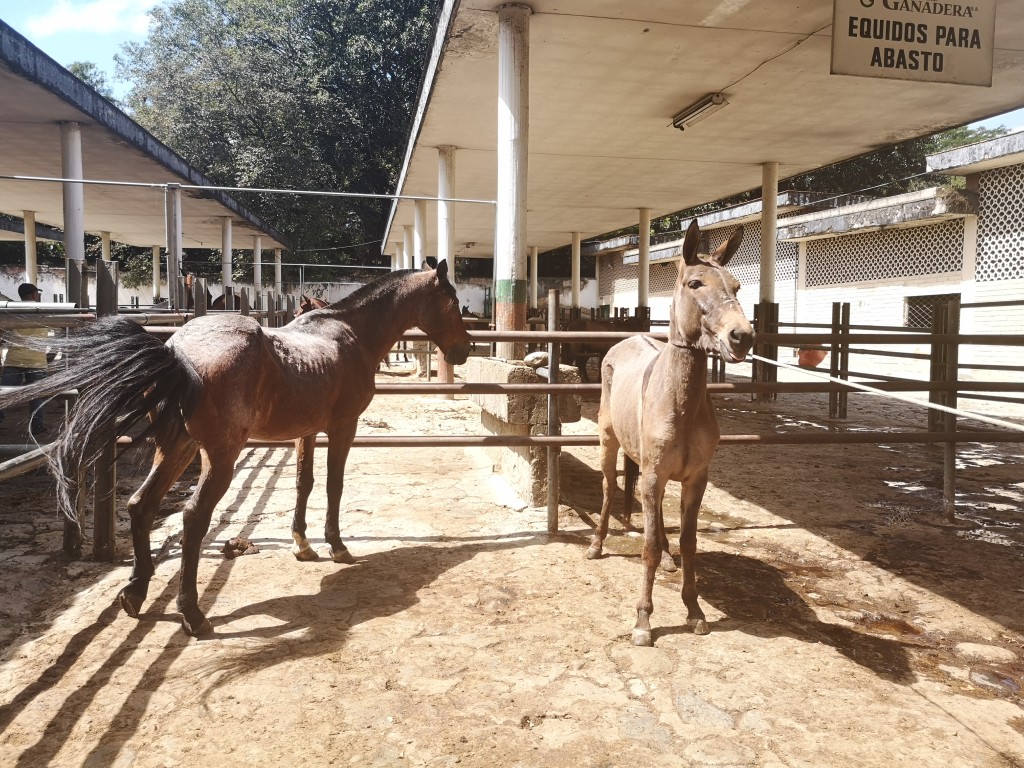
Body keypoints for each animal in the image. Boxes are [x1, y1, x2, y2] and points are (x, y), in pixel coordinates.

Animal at [0, 261, 470, 636]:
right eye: (452, 300)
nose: (464, 350)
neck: (349, 334)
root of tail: (176, 351)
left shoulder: (305, 433)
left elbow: (303, 483)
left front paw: (302, 544)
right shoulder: (342, 429)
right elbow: (333, 486)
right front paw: (337, 547)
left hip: (177, 448)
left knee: (140, 505)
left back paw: (135, 592)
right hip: (218, 458)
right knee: (192, 518)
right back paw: (192, 614)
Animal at [586, 221, 753, 647]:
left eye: (736, 285)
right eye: (695, 283)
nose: (742, 337)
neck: (680, 404)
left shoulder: (695, 479)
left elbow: (689, 543)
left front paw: (694, 611)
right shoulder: (653, 475)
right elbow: (645, 548)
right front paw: (644, 621)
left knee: (658, 513)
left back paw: (667, 556)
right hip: (609, 445)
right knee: (609, 489)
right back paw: (596, 544)